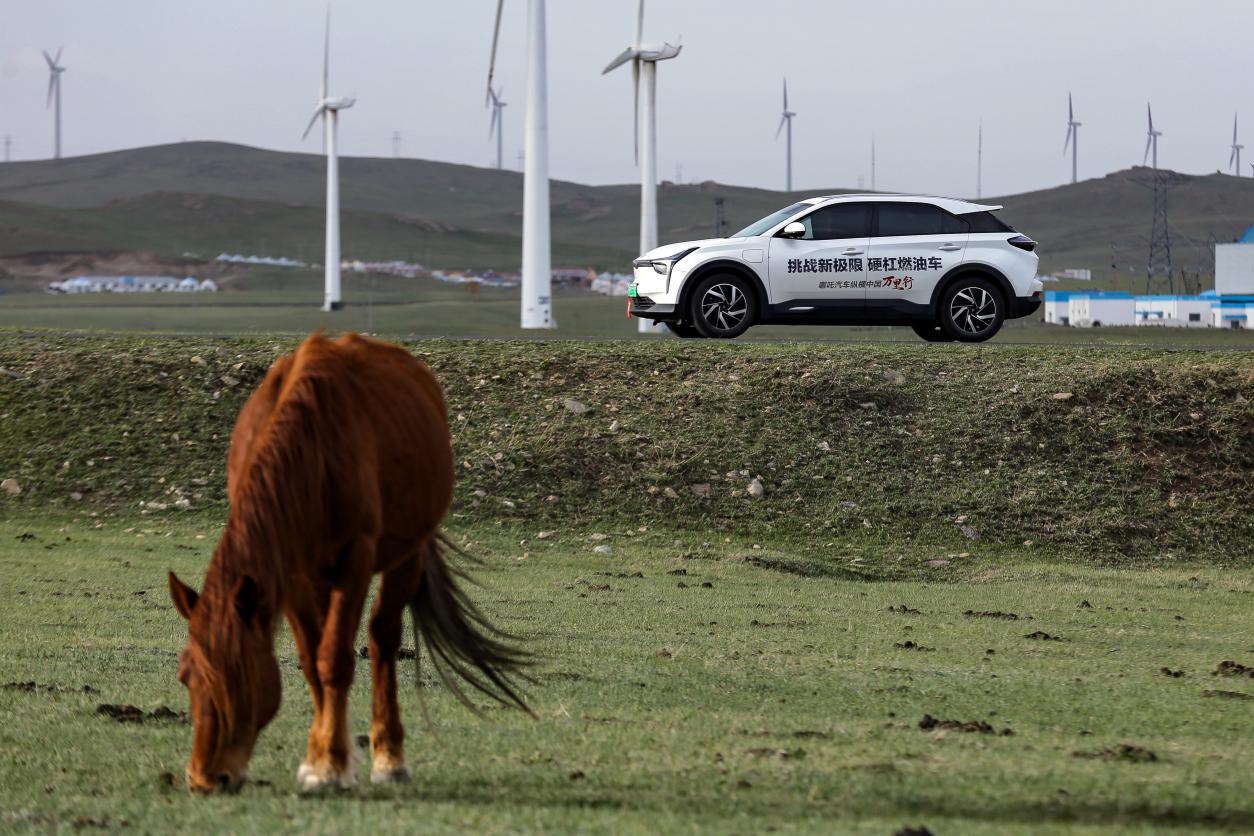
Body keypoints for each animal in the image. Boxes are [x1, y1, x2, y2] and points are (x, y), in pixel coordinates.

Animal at [165, 330, 524, 797]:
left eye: (238, 675)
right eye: (185, 676)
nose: (206, 779)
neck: (313, 451)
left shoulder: (356, 558)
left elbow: (333, 660)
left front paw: (330, 766)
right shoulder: (291, 574)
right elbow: (310, 660)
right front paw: (320, 757)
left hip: (405, 554)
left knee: (382, 639)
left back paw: (389, 757)